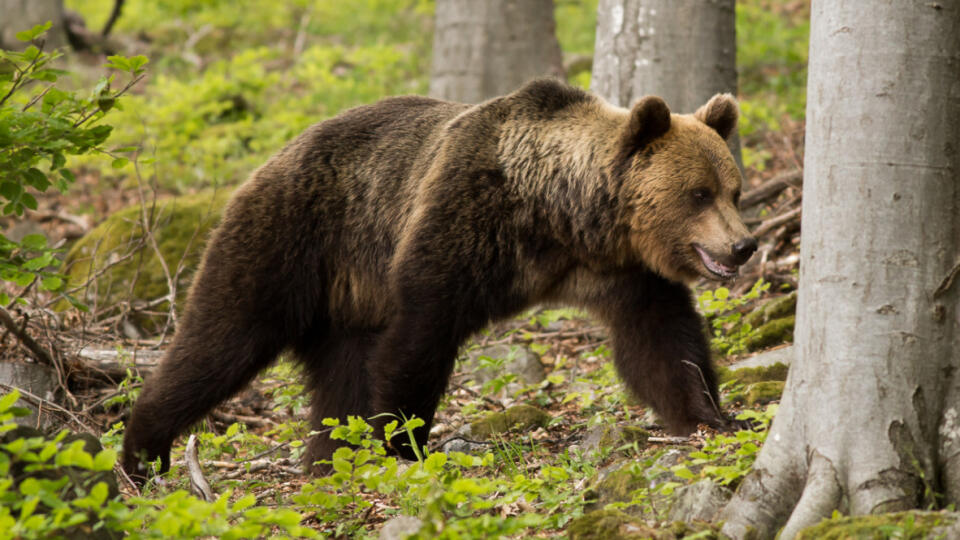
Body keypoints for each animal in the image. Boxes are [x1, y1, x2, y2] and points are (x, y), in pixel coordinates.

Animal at [124, 79, 756, 480]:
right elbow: (419, 339)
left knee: (338, 383)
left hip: (348, 303)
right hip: (288, 241)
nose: (744, 246)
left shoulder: (618, 270)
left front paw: (710, 416)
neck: (560, 216)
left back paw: (329, 461)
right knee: (221, 338)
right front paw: (404, 446)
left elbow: (661, 342)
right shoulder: (462, 223)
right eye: (698, 194)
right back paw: (141, 452)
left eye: (734, 190)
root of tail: (270, 160)